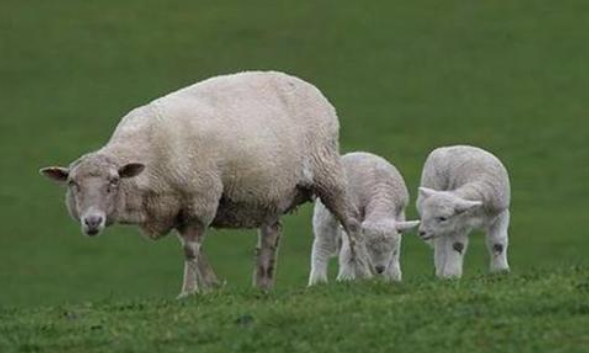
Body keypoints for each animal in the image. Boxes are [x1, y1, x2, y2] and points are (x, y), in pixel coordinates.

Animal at [40, 71, 362, 296]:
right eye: (73, 184)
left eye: (113, 182)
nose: (92, 221)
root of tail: (310, 88)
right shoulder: (175, 209)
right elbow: (195, 249)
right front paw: (212, 287)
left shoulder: (201, 198)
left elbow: (191, 250)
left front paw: (189, 292)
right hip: (271, 193)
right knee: (271, 235)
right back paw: (262, 286)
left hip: (327, 171)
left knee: (351, 222)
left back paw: (361, 273)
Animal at [308, 151, 418, 284]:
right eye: (369, 246)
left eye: (391, 247)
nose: (380, 269)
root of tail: (351, 153)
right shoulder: (353, 218)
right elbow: (350, 250)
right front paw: (345, 277)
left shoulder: (400, 215)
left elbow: (396, 250)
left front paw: (393, 277)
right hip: (326, 211)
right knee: (323, 243)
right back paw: (318, 280)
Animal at [416, 144, 508, 278]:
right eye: (424, 215)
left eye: (443, 218)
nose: (421, 232)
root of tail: (451, 146)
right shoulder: (458, 222)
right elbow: (457, 245)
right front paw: (451, 275)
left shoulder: (502, 214)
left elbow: (498, 243)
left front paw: (500, 271)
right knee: (440, 243)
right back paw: (440, 270)